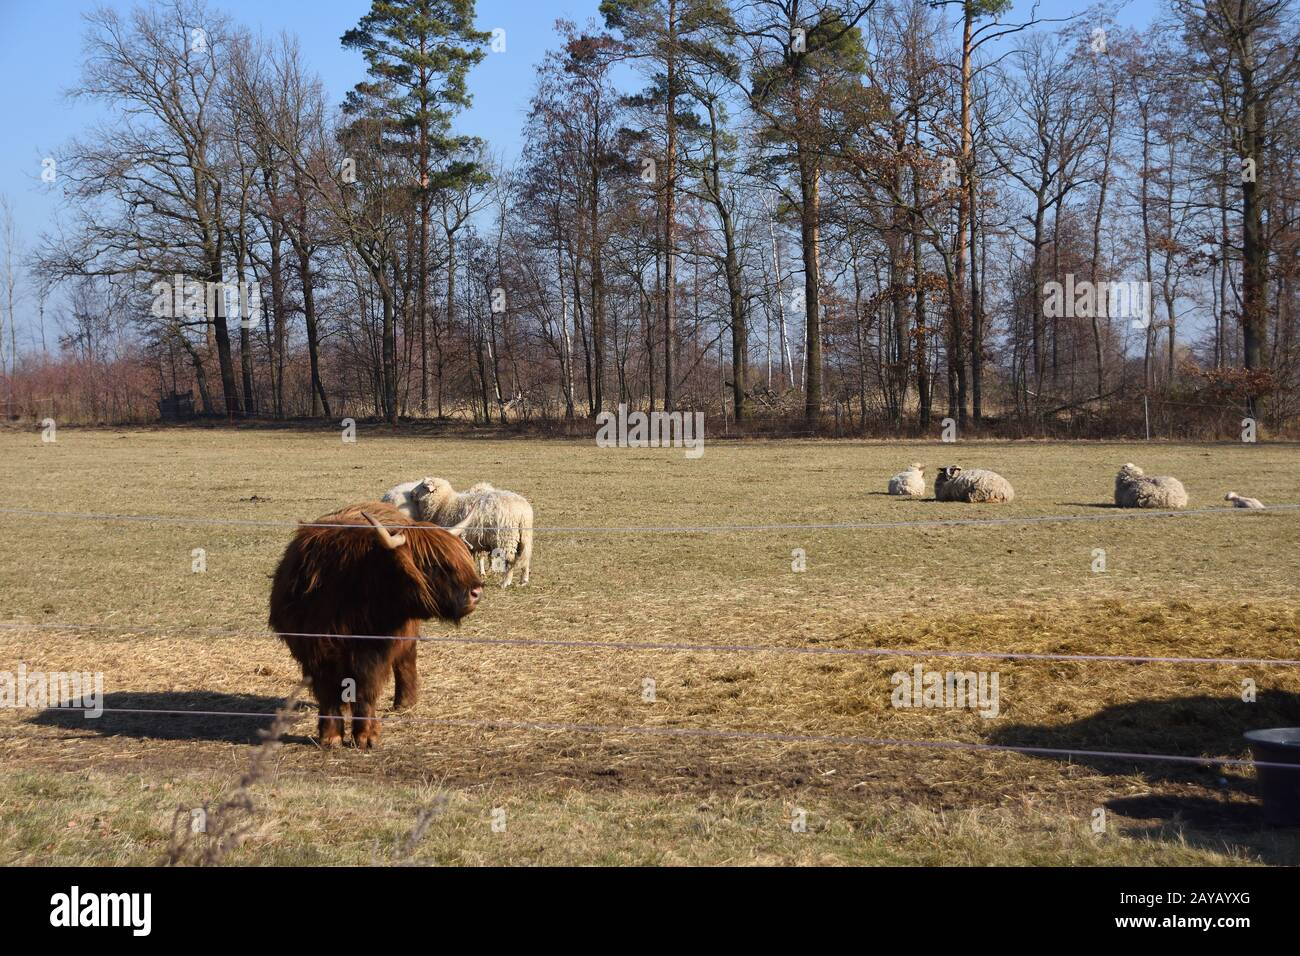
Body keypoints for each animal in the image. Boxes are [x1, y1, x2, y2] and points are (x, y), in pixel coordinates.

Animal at [269, 502, 483, 749]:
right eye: (432, 564)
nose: (476, 591)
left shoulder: (375, 650)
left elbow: (366, 689)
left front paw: (366, 736)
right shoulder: (314, 650)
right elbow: (327, 691)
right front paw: (330, 736)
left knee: (405, 662)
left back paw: (405, 703)